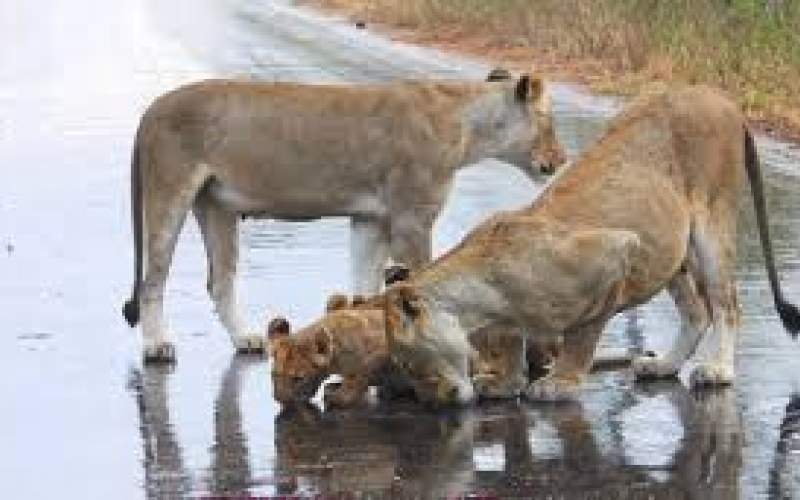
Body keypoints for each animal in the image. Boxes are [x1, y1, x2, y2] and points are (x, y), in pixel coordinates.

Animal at [122, 70, 564, 362]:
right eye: (549, 122)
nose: (561, 160)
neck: (466, 124)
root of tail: (151, 108)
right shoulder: (412, 218)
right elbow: (424, 278)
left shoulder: (372, 219)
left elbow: (364, 287)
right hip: (169, 192)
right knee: (152, 280)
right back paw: (156, 346)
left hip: (218, 207)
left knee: (220, 281)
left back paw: (246, 339)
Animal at [382, 86, 800, 406]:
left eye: (412, 364)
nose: (437, 403)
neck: (484, 296)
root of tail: (719, 96)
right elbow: (513, 341)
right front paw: (505, 382)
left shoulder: (616, 253)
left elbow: (583, 335)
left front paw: (558, 383)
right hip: (670, 252)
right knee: (696, 312)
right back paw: (662, 365)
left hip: (712, 224)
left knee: (727, 303)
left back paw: (718, 371)